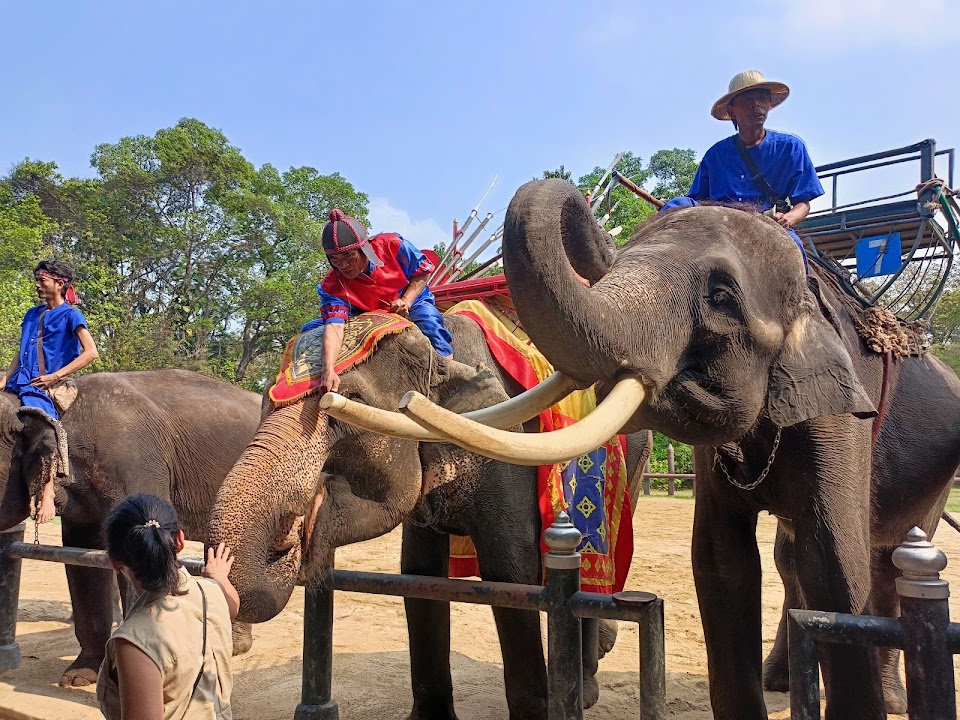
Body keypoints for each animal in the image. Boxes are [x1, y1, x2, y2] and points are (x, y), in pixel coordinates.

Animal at [207, 313, 651, 720]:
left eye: (352, 403)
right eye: (266, 402)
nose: (285, 538)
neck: (443, 354)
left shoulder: (506, 452)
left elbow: (509, 572)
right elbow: (419, 572)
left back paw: (587, 689)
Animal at [387, 179, 960, 720]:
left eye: (722, 296)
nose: (588, 198)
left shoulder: (839, 415)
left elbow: (834, 562)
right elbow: (721, 561)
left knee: (886, 554)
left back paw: (889, 698)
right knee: (790, 557)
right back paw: (777, 681)